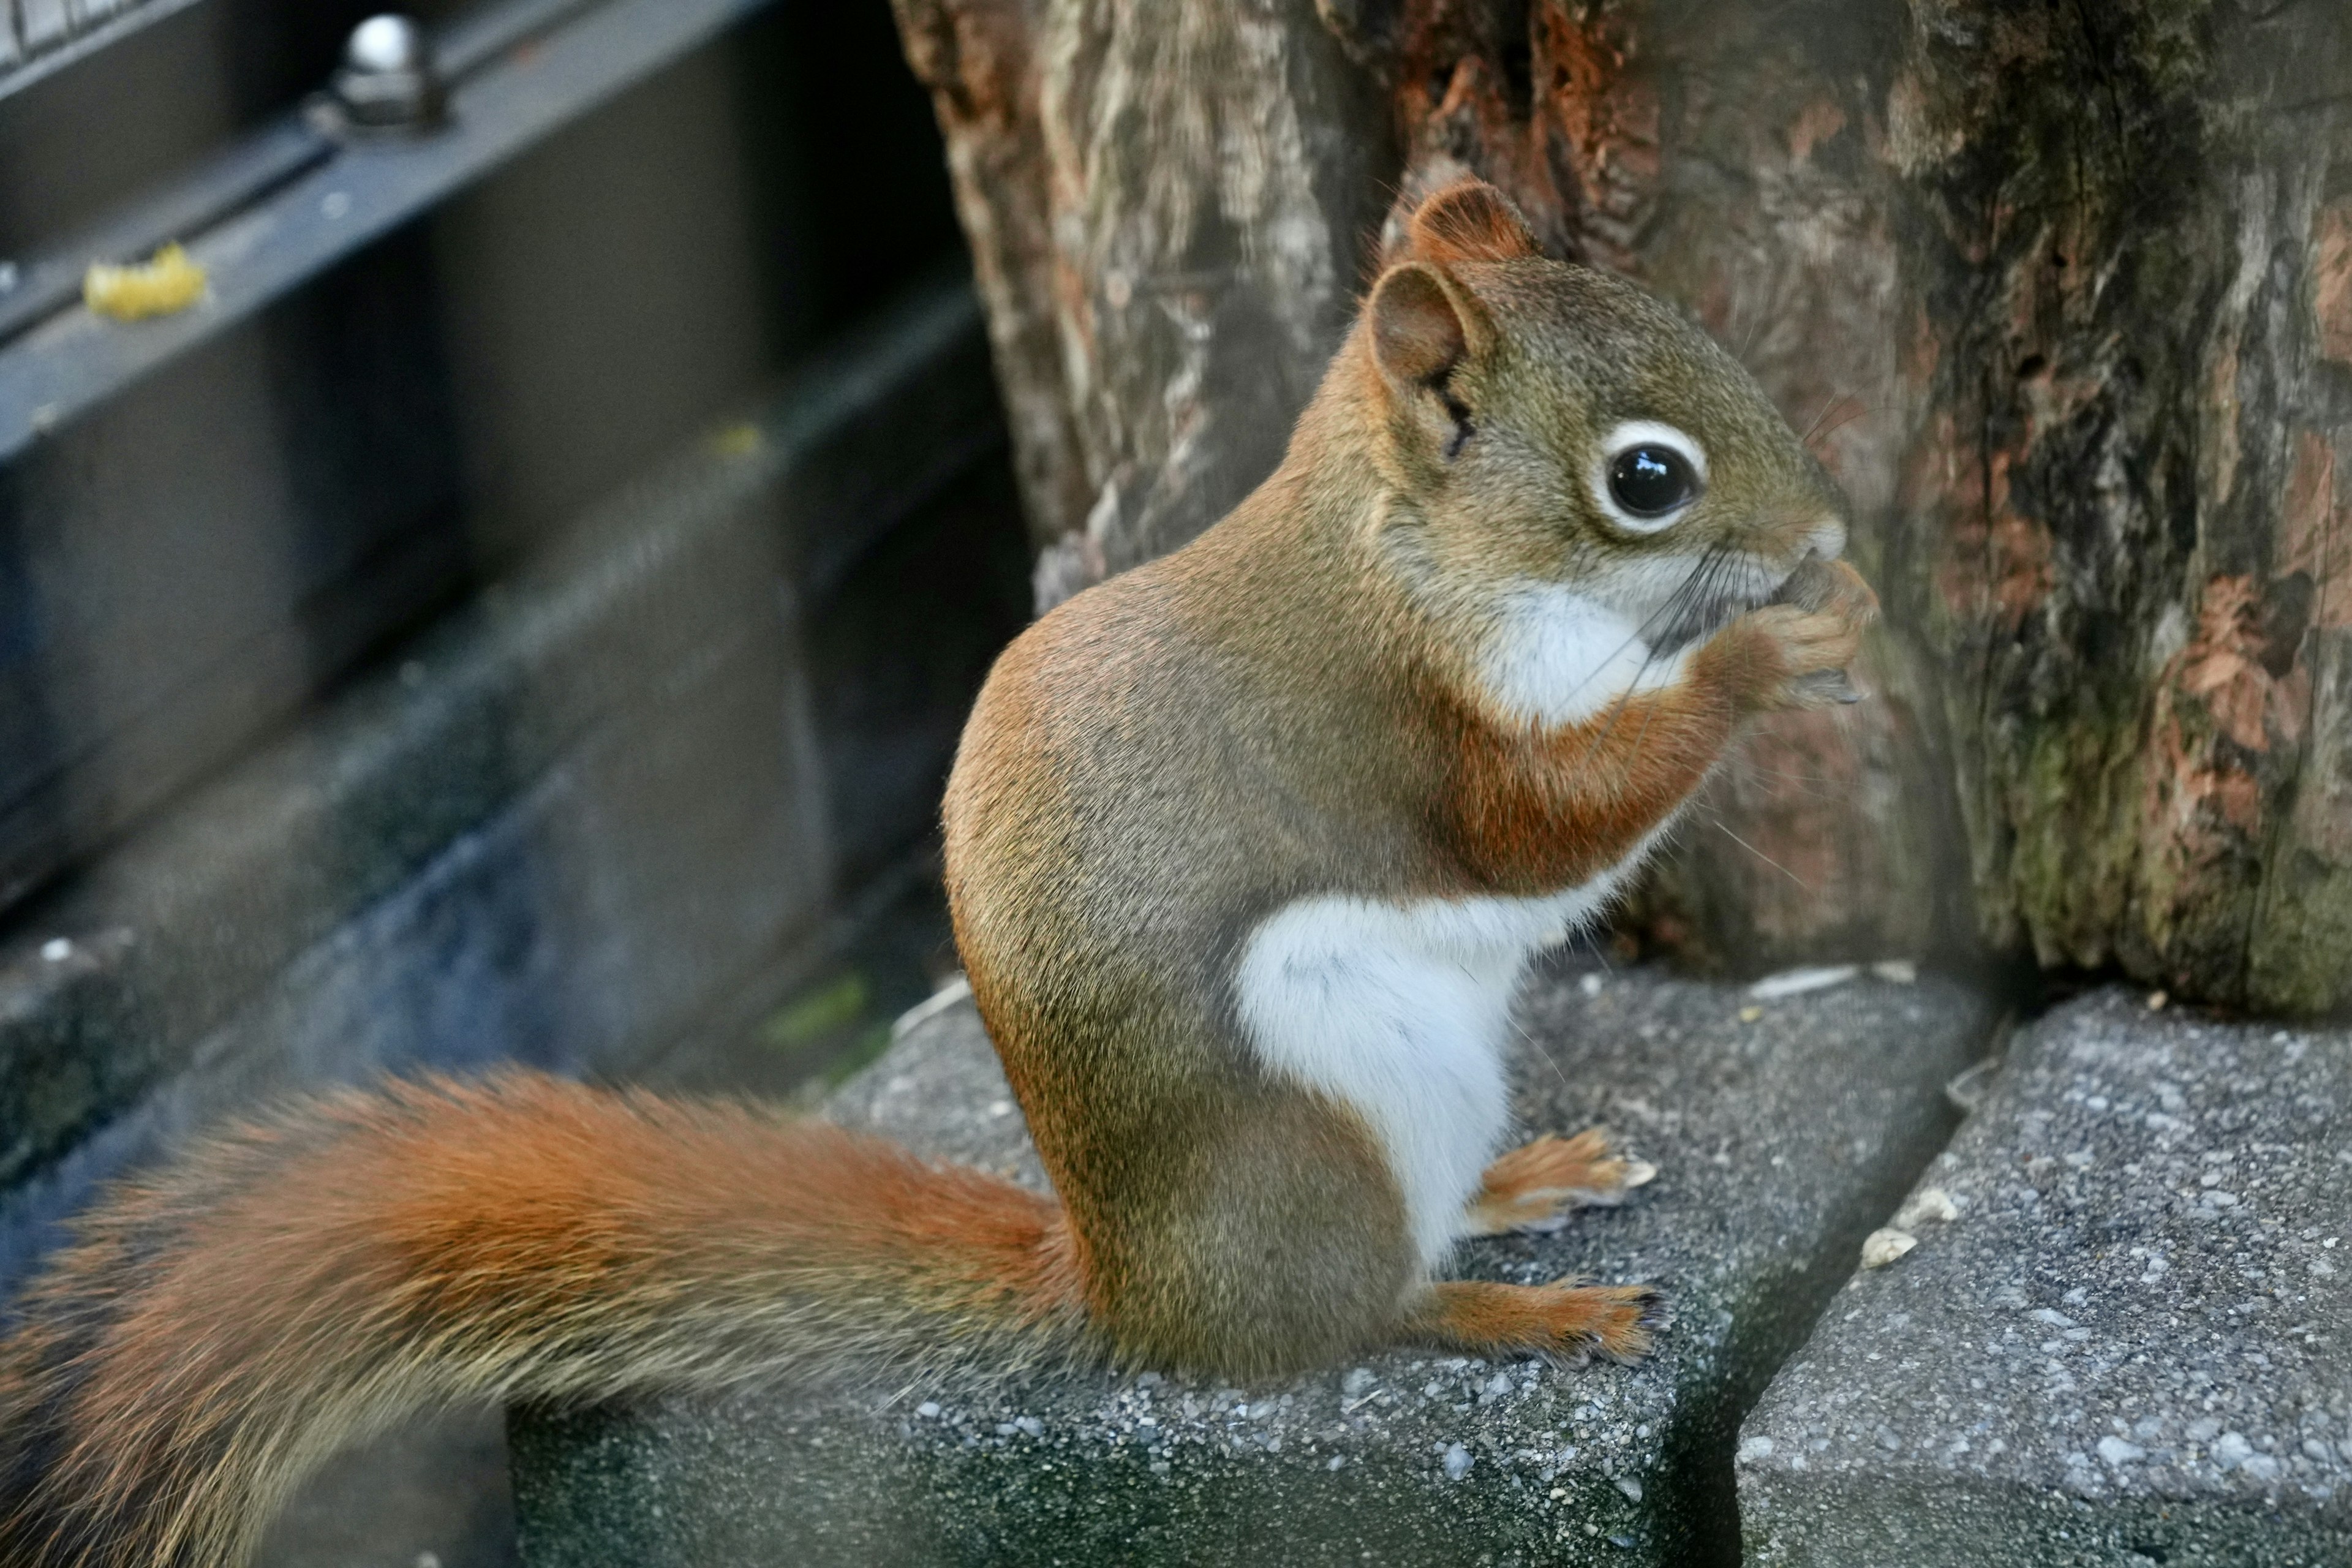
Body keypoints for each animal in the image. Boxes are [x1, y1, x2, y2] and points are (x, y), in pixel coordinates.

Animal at [0, 177, 1872, 1561]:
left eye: (1698, 327)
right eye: (1645, 478)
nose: (1829, 528)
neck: (1409, 547)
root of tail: (1126, 1289)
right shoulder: (1399, 734)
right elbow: (1550, 831)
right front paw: (1770, 655)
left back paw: (1522, 1181)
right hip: (1332, 1115)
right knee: (1339, 1323)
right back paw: (1513, 1314)